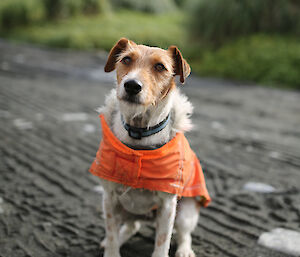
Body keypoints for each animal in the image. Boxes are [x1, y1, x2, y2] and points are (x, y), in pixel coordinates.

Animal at [89, 38, 211, 256]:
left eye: (160, 66)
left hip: (185, 213)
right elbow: (111, 236)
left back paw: (184, 250)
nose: (131, 85)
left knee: (184, 234)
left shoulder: (168, 206)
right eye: (126, 59)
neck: (138, 133)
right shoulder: (109, 198)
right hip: (124, 210)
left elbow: (162, 242)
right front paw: (111, 247)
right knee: (131, 227)